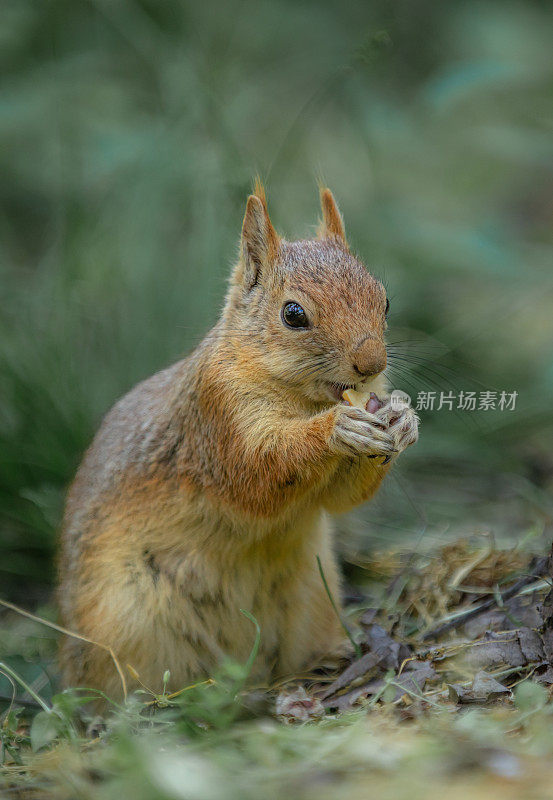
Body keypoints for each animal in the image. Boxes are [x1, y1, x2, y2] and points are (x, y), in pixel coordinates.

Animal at [57, 184, 418, 696]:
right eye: (293, 314)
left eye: (384, 300)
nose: (372, 364)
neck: (301, 398)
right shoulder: (217, 418)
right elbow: (256, 475)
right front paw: (335, 430)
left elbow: (341, 497)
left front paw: (403, 418)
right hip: (126, 621)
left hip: (311, 597)